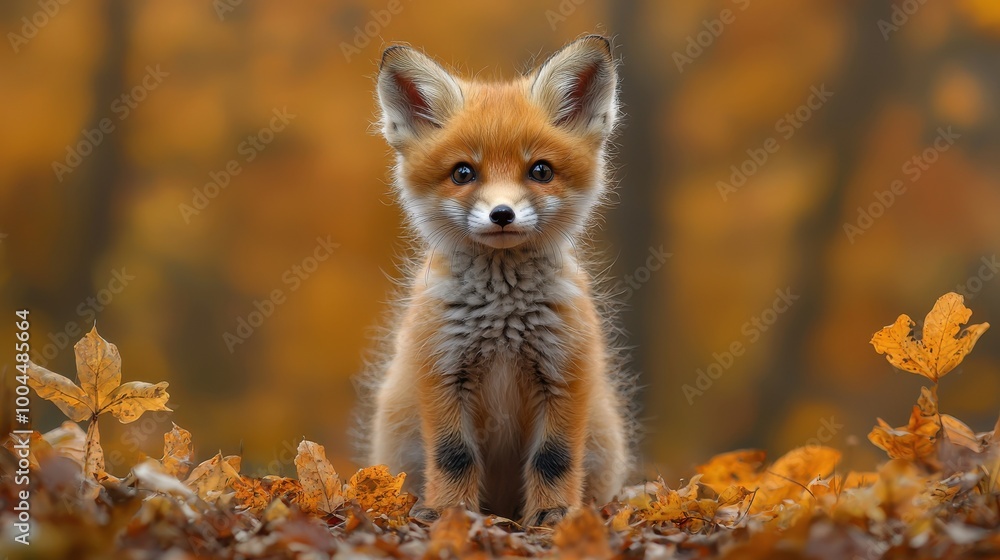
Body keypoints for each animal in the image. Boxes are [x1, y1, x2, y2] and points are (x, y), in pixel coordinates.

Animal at [366, 35, 633, 527]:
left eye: (541, 171)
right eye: (463, 173)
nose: (502, 214)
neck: (503, 319)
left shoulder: (566, 371)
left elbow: (554, 458)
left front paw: (553, 515)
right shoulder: (441, 371)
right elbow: (454, 457)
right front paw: (452, 513)